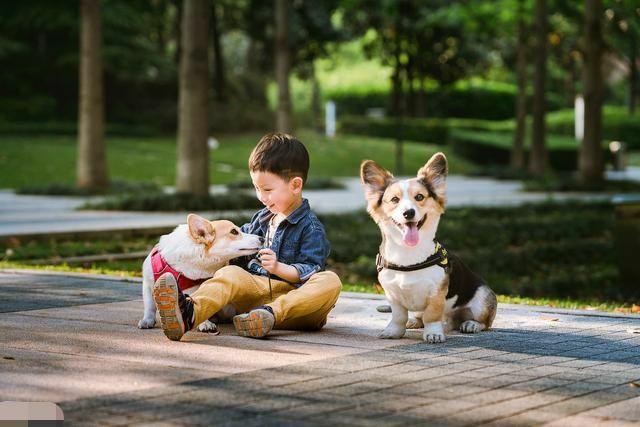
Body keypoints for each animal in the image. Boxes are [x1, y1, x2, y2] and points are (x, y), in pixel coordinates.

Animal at [362, 154, 498, 344]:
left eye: (419, 197)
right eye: (395, 200)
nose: (409, 213)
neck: (408, 255)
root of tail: (455, 320)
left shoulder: (436, 294)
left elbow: (432, 316)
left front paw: (433, 334)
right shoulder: (392, 295)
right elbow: (398, 316)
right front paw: (394, 331)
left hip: (482, 300)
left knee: (484, 322)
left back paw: (471, 324)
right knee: (419, 317)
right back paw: (413, 322)